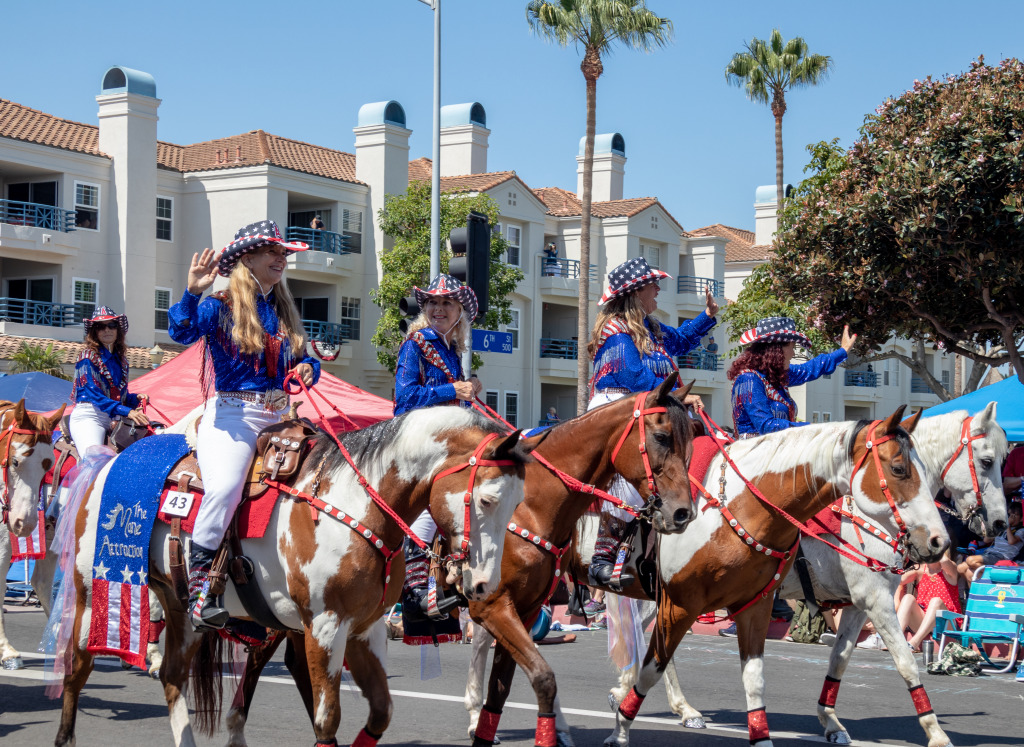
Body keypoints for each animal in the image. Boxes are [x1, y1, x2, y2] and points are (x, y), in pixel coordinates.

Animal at [55, 405, 540, 745]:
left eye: (519, 502)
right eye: (487, 499)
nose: (483, 584)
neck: (357, 501)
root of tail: (108, 464)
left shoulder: (365, 629)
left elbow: (380, 711)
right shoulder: (324, 628)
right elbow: (327, 719)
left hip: (179, 607)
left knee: (173, 676)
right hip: (92, 592)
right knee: (77, 671)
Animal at [216, 375, 696, 745]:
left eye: (691, 442)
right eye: (661, 437)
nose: (682, 513)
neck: (536, 507)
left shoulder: (525, 608)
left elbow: (509, 685)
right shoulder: (493, 605)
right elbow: (539, 675)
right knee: (262, 660)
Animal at [614, 405, 1007, 745]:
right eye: (987, 461)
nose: (1001, 524)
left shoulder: (858, 604)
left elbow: (840, 659)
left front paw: (830, 721)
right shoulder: (876, 599)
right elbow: (906, 663)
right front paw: (936, 732)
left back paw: (664, 702)